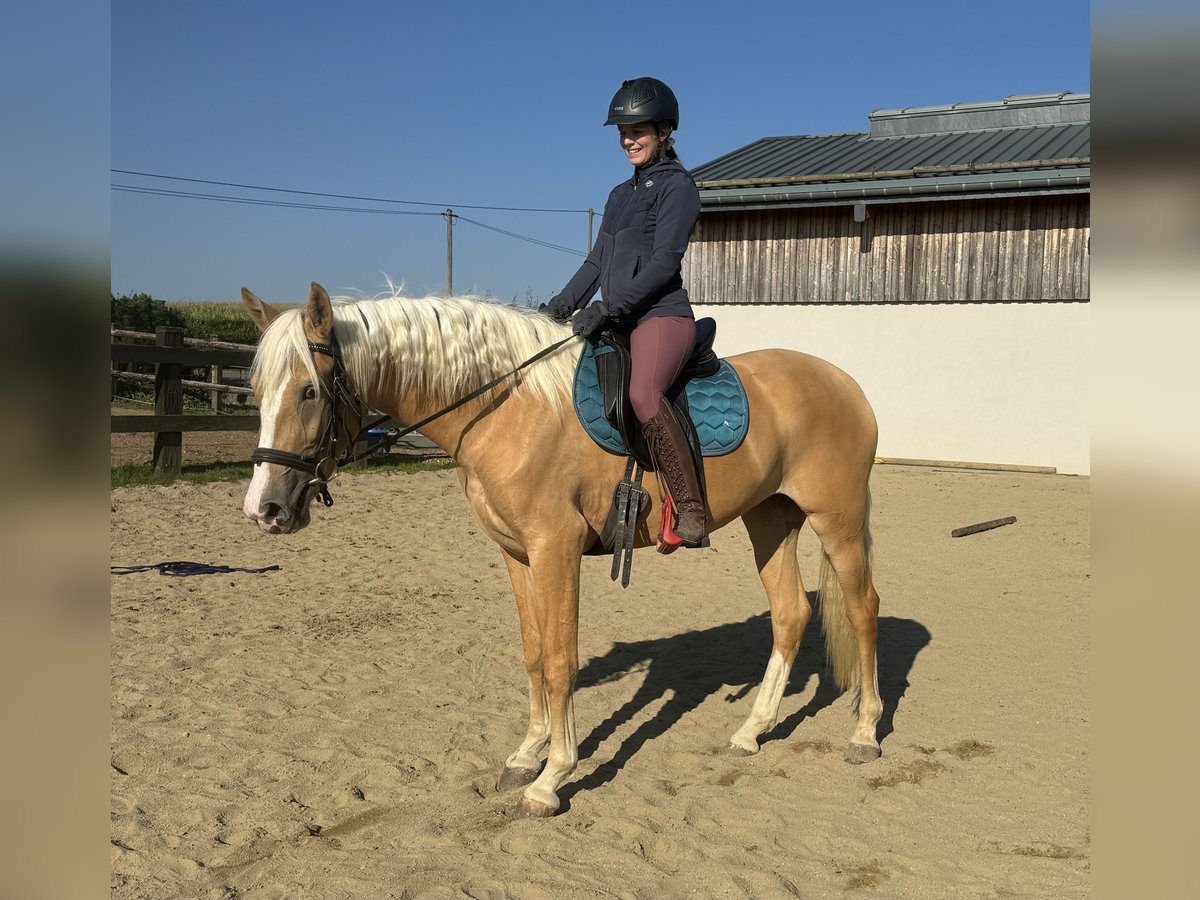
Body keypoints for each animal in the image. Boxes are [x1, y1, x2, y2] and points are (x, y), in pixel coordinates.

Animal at [238, 285, 888, 820]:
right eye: (257, 392)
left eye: (308, 391)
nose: (262, 509)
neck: (505, 408)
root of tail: (845, 383)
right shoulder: (517, 554)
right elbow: (532, 654)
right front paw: (528, 752)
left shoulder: (557, 550)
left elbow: (559, 660)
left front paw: (552, 776)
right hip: (771, 519)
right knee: (790, 613)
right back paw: (752, 730)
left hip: (837, 521)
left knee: (863, 608)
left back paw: (863, 734)